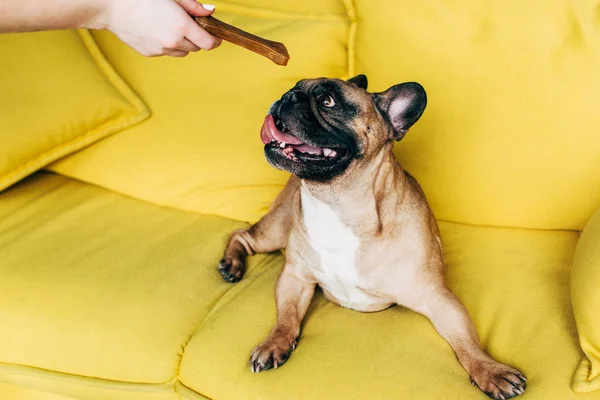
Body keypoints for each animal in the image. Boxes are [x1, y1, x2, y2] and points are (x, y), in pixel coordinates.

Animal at [219, 76, 524, 400]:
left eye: (328, 101)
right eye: (294, 87)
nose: (288, 96)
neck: (337, 205)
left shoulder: (437, 298)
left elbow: (467, 340)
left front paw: (490, 370)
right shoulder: (296, 277)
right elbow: (285, 317)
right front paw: (273, 343)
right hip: (277, 230)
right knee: (242, 235)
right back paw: (231, 265)